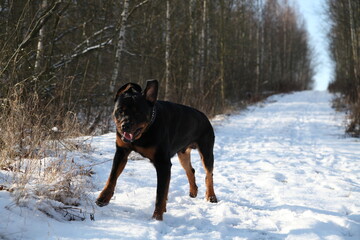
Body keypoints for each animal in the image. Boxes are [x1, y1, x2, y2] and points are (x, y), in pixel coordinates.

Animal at [95, 79, 217, 220]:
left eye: (138, 112)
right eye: (120, 110)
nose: (125, 125)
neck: (144, 133)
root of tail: (204, 117)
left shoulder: (163, 163)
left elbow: (160, 193)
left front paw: (157, 218)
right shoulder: (121, 152)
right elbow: (112, 177)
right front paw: (103, 198)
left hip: (206, 150)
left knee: (209, 174)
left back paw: (211, 196)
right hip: (183, 153)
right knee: (190, 170)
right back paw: (193, 191)